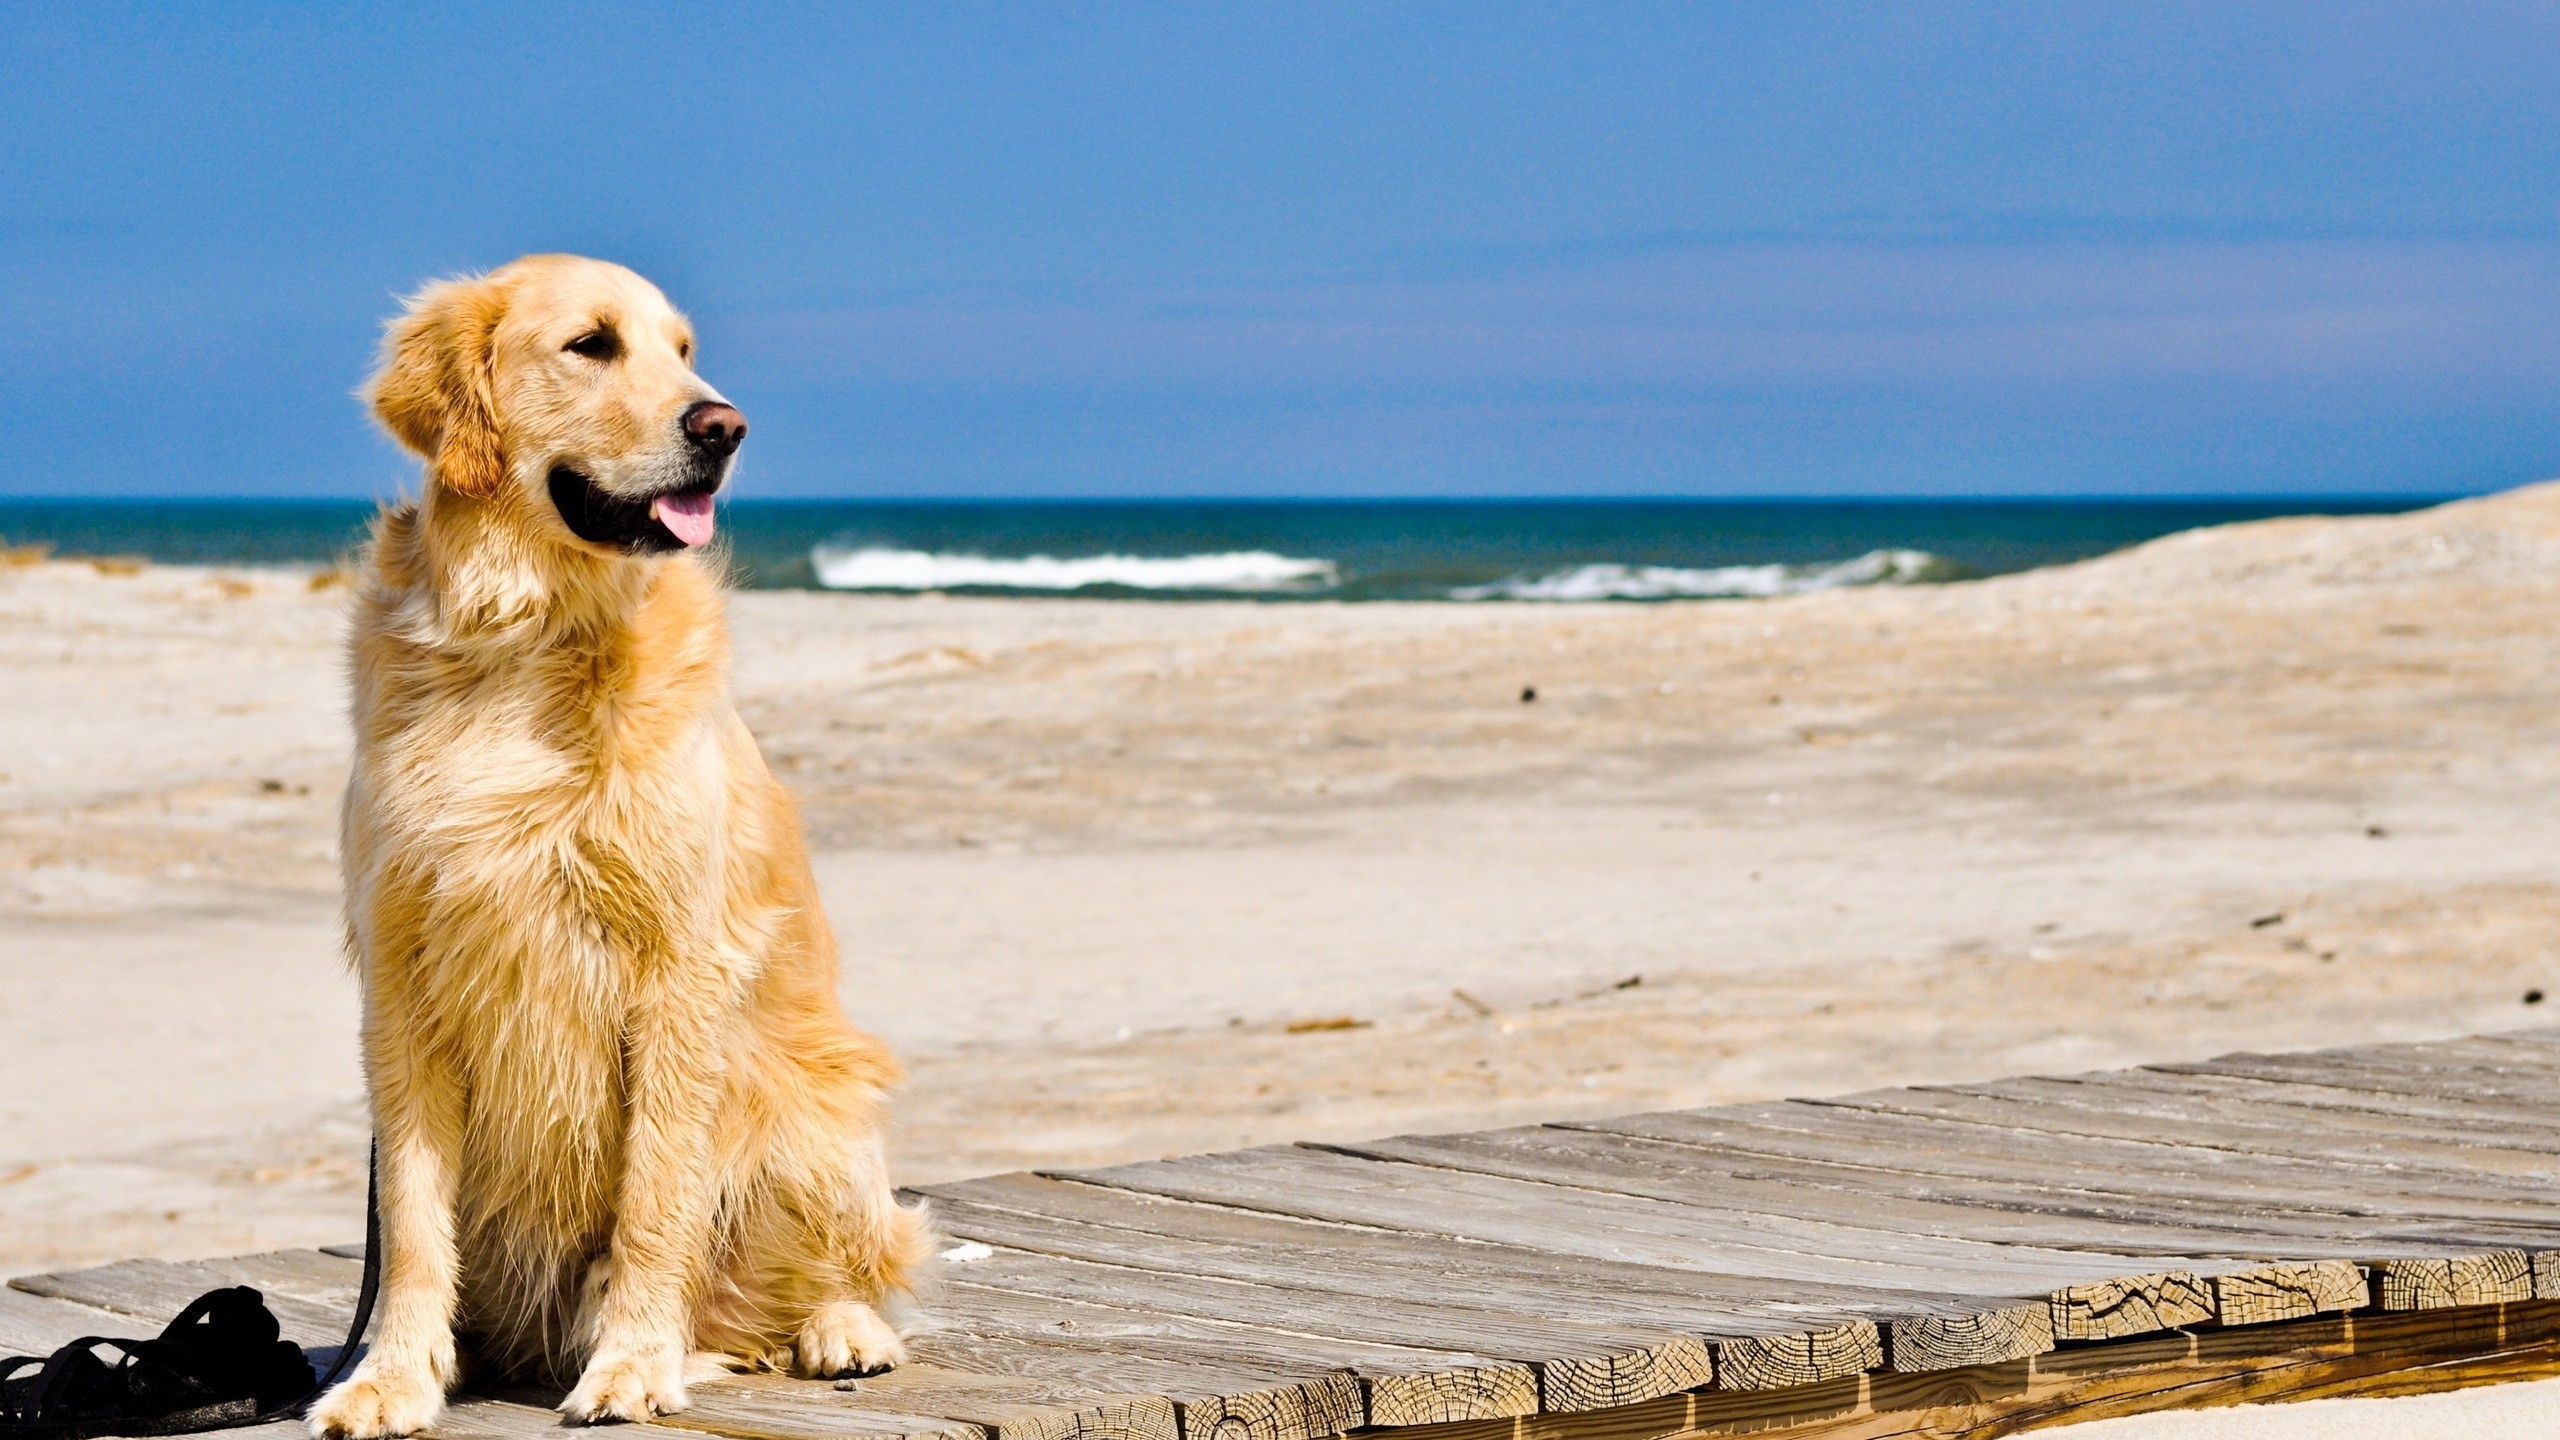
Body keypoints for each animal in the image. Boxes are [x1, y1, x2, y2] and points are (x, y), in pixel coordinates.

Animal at [309, 252, 931, 1424]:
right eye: (592, 344)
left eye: (683, 351)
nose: (724, 426)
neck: (523, 637)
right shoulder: (401, 981)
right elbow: (410, 1223)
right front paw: (391, 1377)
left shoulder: (679, 971)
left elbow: (653, 1197)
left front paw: (634, 1362)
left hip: (814, 1109)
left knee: (836, 1271)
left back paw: (839, 1331)